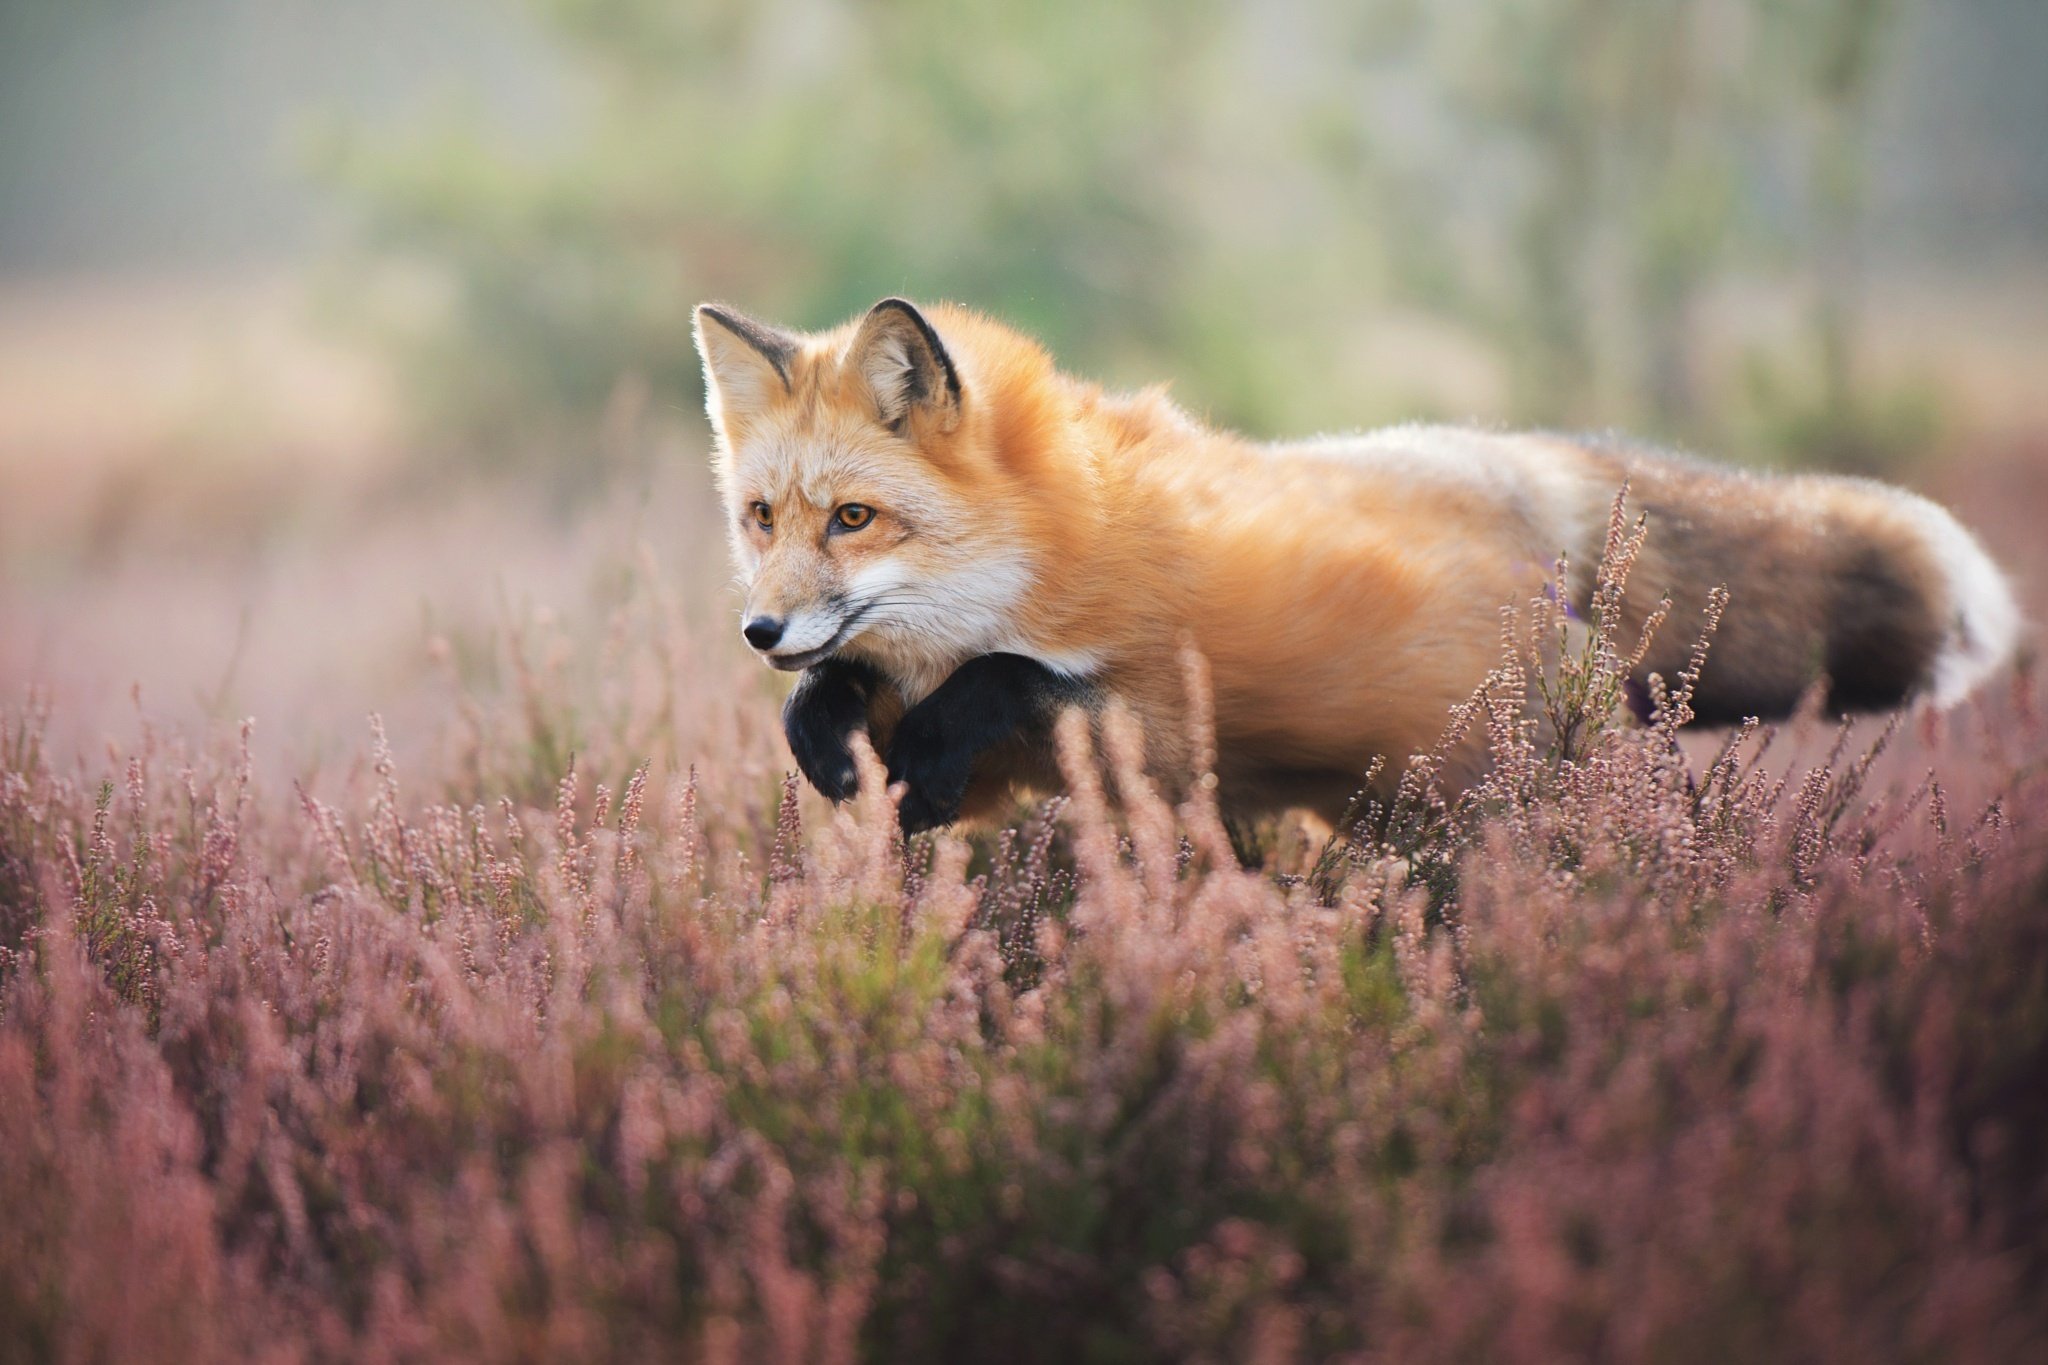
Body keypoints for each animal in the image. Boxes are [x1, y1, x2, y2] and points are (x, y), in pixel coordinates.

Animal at [688, 300, 2015, 834]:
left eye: (852, 518)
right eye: (760, 520)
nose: (756, 633)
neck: (1051, 543)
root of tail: (1503, 455)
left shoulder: (1160, 718)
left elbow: (1011, 677)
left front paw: (925, 721)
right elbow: (861, 692)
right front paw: (825, 732)